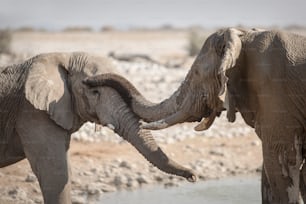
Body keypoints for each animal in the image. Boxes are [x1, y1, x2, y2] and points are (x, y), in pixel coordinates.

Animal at [0, 52, 196, 204]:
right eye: (95, 93)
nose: (193, 176)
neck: (65, 55)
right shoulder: (32, 112)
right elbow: (55, 173)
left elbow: (63, 173)